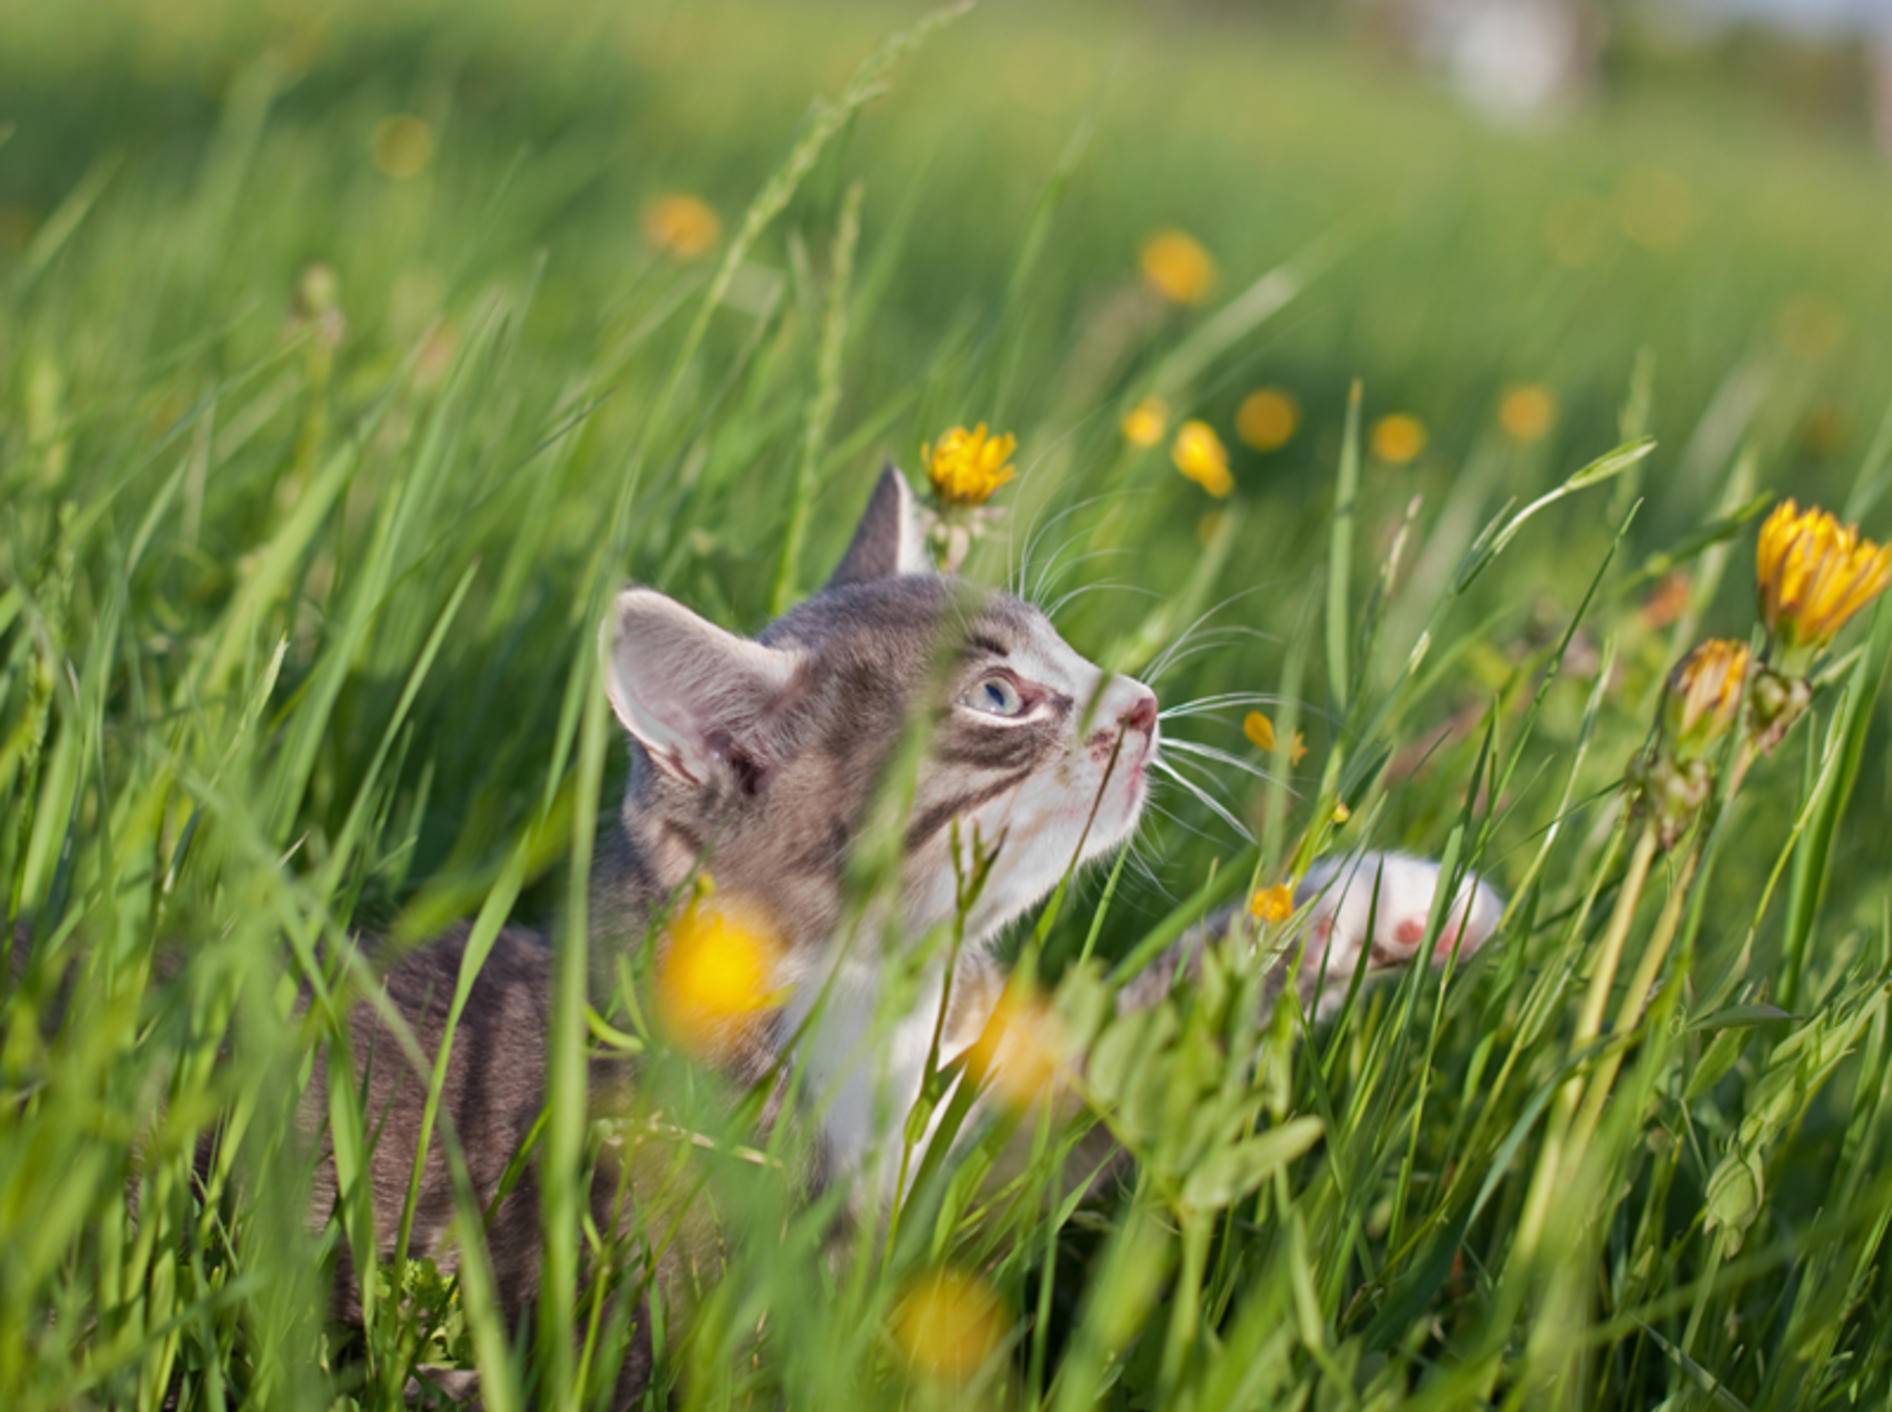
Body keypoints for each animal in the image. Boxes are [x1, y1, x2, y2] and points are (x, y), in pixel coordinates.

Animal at [298, 465, 1506, 1400]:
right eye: (997, 695)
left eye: (1065, 647)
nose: (1142, 701)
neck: (880, 992)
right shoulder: (730, 1268)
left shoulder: (984, 1134)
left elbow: (1134, 1049)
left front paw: (1377, 902)